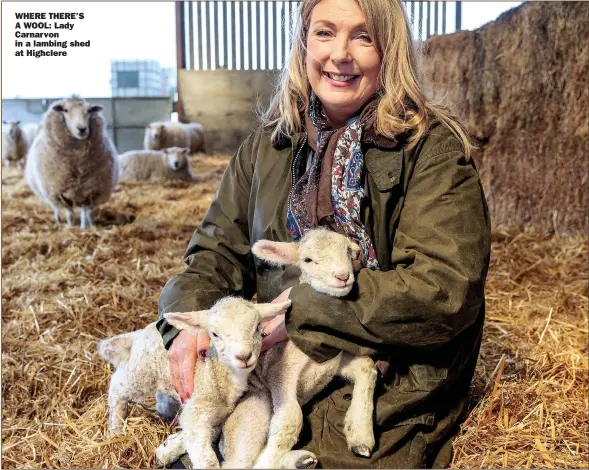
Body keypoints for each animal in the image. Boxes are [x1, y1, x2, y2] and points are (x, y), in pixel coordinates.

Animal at [24, 94, 118, 229]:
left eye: (89, 111)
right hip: (49, 192)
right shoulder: (60, 193)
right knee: (55, 208)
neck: (77, 160)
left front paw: (87, 227)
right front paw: (70, 227)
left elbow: (86, 213)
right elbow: (70, 214)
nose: (82, 129)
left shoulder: (89, 190)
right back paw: (58, 219)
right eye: (66, 110)